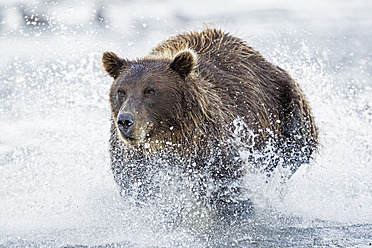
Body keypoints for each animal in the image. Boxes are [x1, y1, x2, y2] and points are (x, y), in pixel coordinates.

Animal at [103, 28, 318, 219]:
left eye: (150, 90)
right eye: (121, 91)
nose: (125, 121)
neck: (170, 140)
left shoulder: (210, 146)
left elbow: (229, 188)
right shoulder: (135, 160)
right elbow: (138, 188)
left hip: (288, 109)